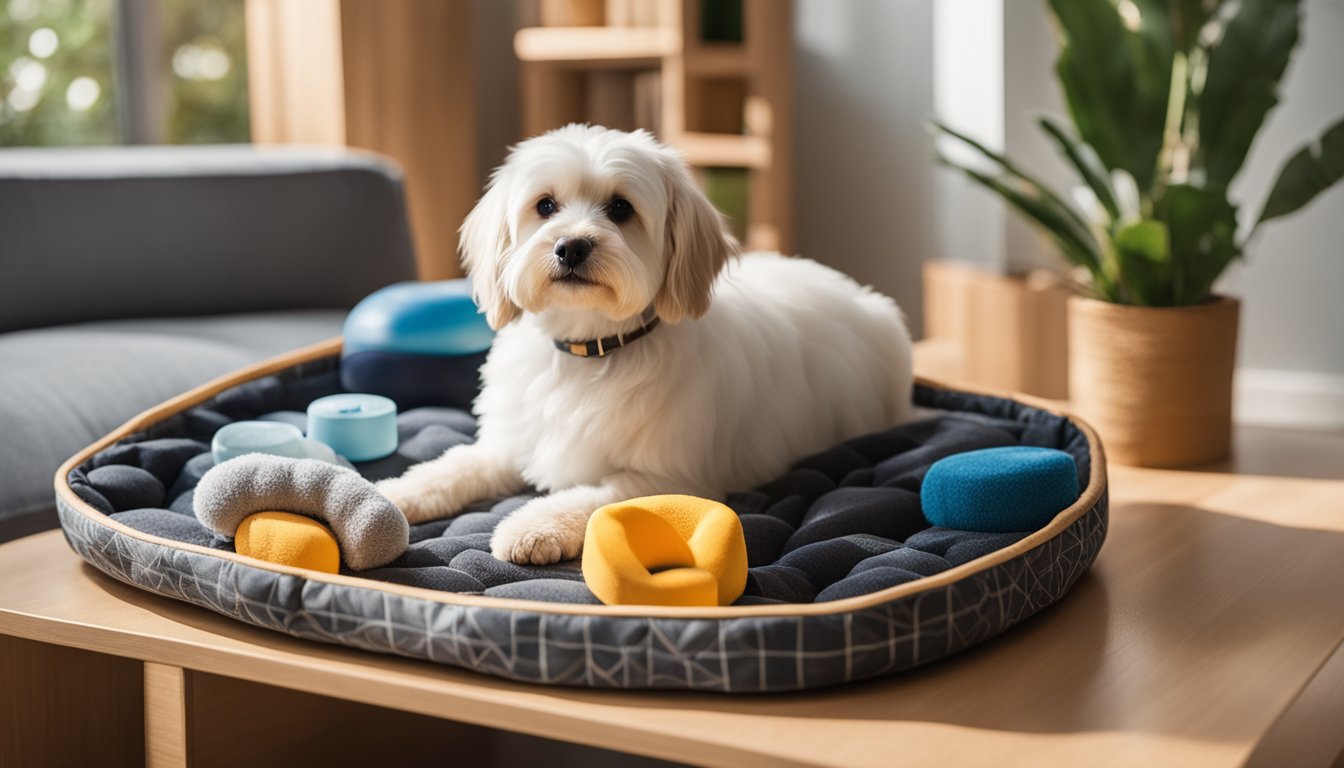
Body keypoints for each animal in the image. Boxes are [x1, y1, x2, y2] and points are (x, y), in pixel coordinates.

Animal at [376, 126, 913, 567]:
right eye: (545, 205)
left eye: (621, 208)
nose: (570, 246)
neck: (592, 350)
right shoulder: (508, 444)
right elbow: (454, 467)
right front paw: (394, 493)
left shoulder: (668, 478)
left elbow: (591, 499)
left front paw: (534, 525)